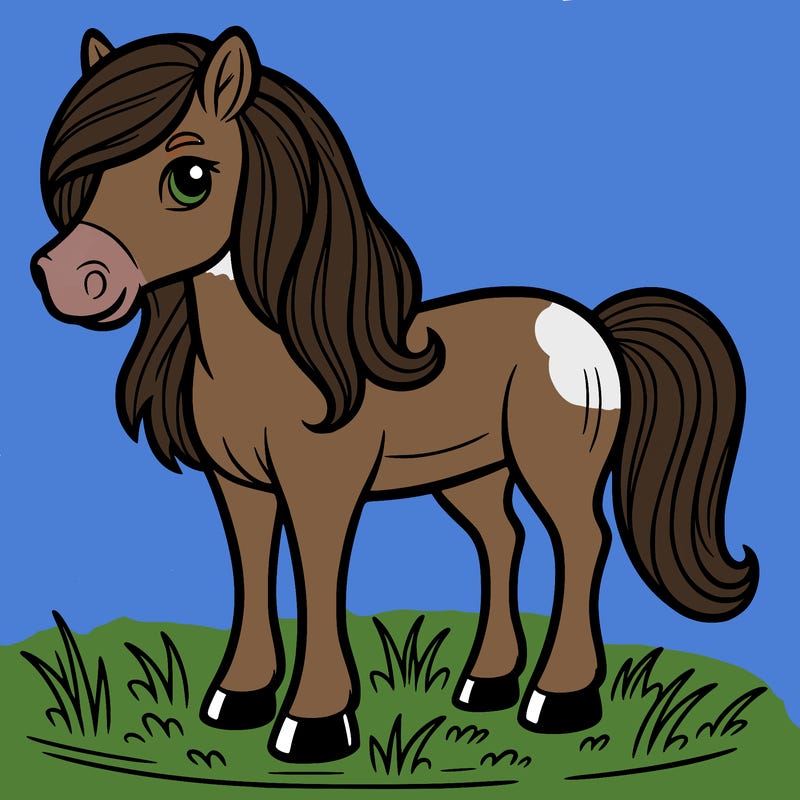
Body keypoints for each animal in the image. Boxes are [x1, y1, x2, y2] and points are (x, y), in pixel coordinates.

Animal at [31, 27, 757, 763]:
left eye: (191, 178)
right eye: (88, 178)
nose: (68, 277)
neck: (282, 359)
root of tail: (592, 326)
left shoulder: (322, 488)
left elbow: (318, 579)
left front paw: (314, 725)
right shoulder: (240, 487)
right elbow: (252, 573)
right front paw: (237, 699)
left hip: (556, 470)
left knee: (581, 542)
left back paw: (557, 700)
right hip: (472, 476)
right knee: (504, 540)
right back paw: (485, 686)